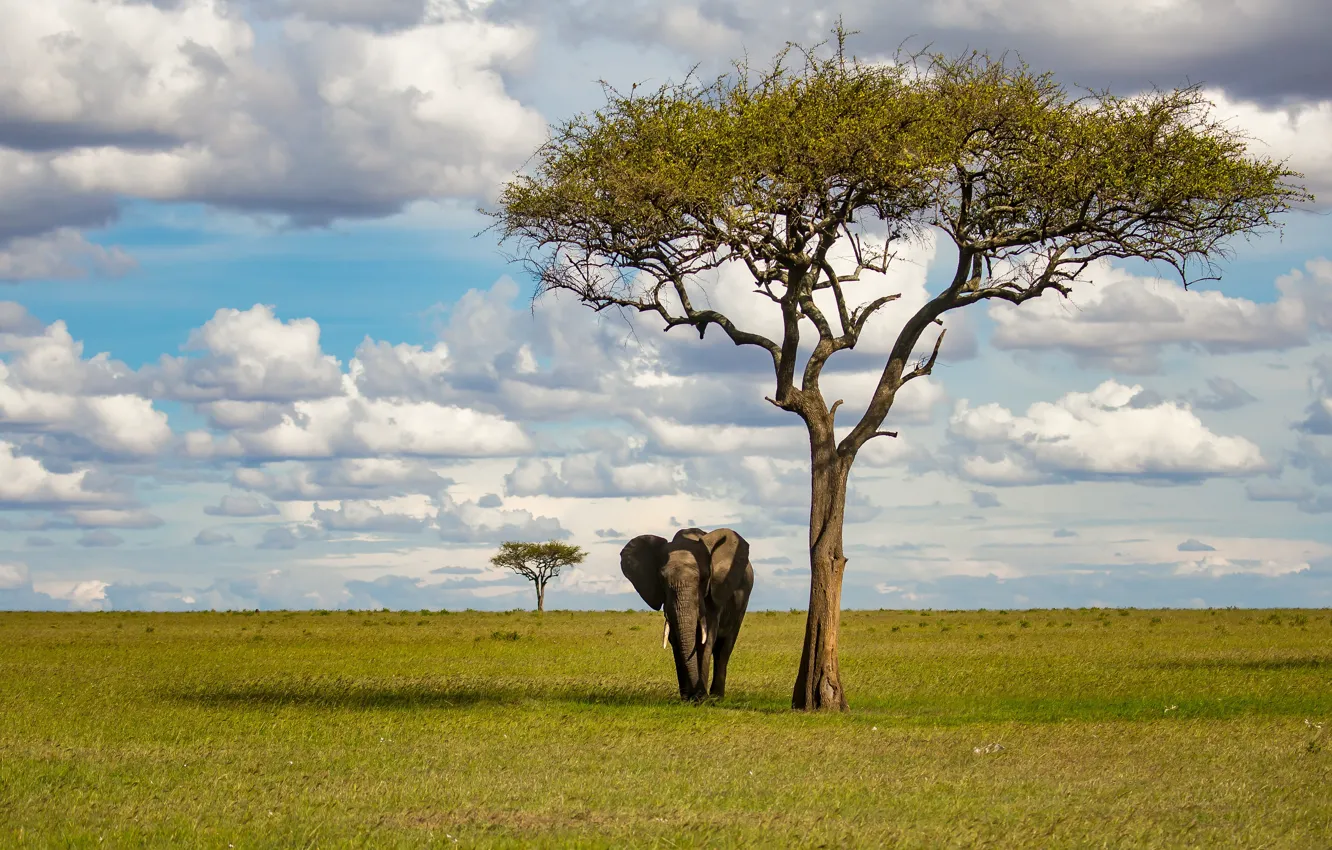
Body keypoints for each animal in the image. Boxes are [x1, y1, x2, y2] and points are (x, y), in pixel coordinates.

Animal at [620, 527, 755, 701]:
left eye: (704, 578)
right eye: (661, 579)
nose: (697, 695)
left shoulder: (714, 594)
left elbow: (706, 639)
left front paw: (700, 698)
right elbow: (675, 638)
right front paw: (688, 699)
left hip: (742, 600)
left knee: (724, 648)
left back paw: (717, 698)